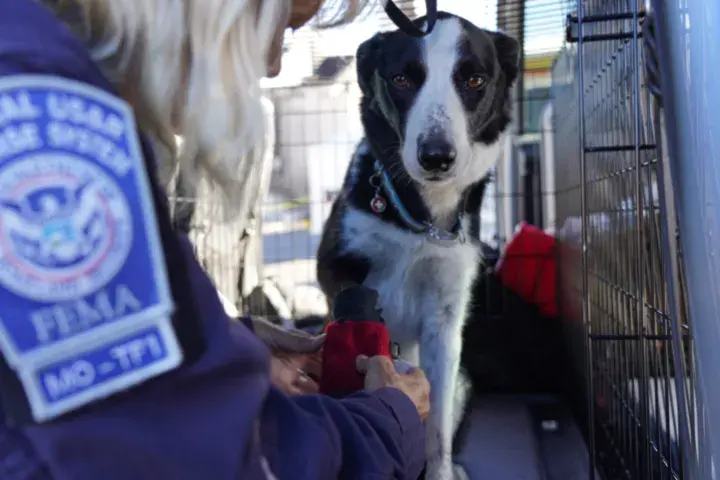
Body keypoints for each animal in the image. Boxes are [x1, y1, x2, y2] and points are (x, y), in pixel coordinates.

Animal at [316, 13, 516, 478]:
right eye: (402, 79)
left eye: (475, 80)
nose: (436, 157)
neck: (420, 220)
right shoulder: (335, 268)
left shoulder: (445, 319)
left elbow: (436, 429)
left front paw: (441, 469)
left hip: (462, 380)